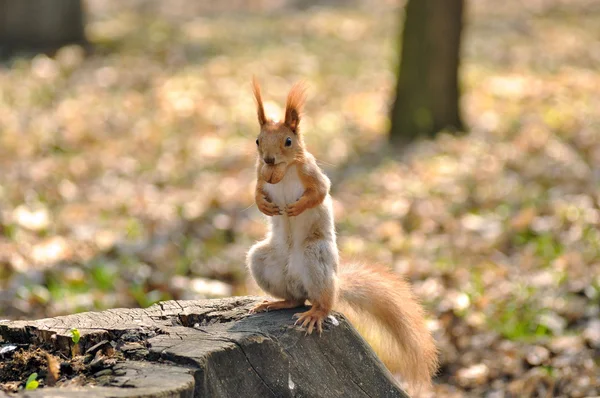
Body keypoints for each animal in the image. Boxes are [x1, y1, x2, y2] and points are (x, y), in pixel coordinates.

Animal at [246, 77, 438, 388]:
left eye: (289, 141)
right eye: (257, 140)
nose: (270, 160)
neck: (283, 172)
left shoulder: (311, 172)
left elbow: (321, 191)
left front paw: (297, 208)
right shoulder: (259, 174)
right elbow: (256, 191)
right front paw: (265, 205)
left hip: (315, 255)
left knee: (323, 301)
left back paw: (316, 313)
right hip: (263, 260)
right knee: (295, 299)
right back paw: (275, 303)